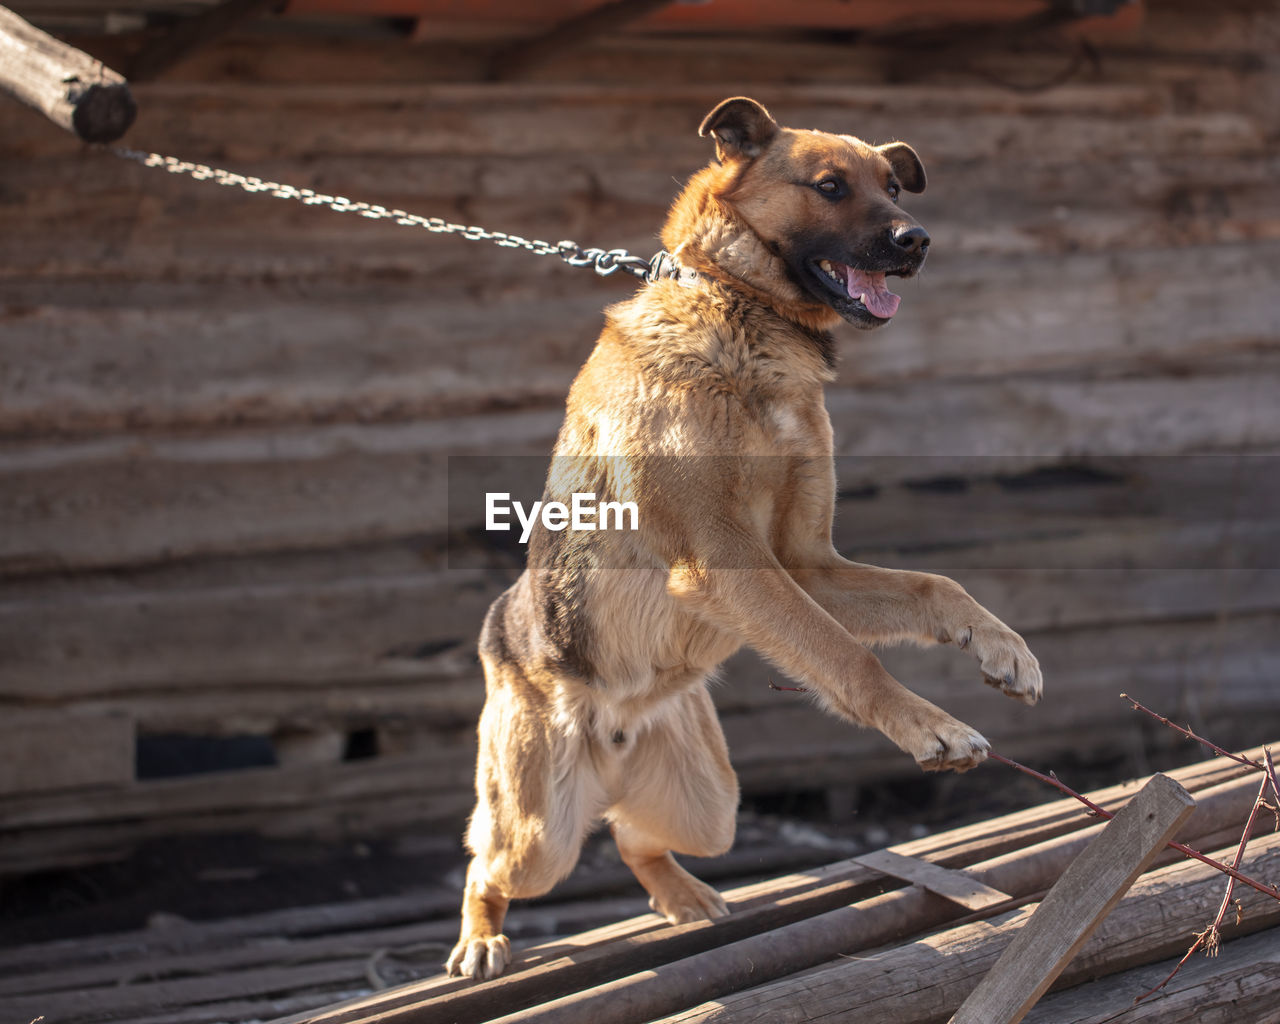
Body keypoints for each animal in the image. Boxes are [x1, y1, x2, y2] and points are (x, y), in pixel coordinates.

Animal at [448, 99, 1039, 977]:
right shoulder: (730, 565)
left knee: (636, 837)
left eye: (894, 185)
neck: (744, 319)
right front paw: (928, 724)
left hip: (710, 810)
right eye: (829, 187)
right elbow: (846, 655)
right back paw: (480, 938)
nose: (919, 240)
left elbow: (936, 588)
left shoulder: (806, 564)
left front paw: (1004, 649)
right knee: (488, 864)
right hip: (539, 834)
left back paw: (683, 895)